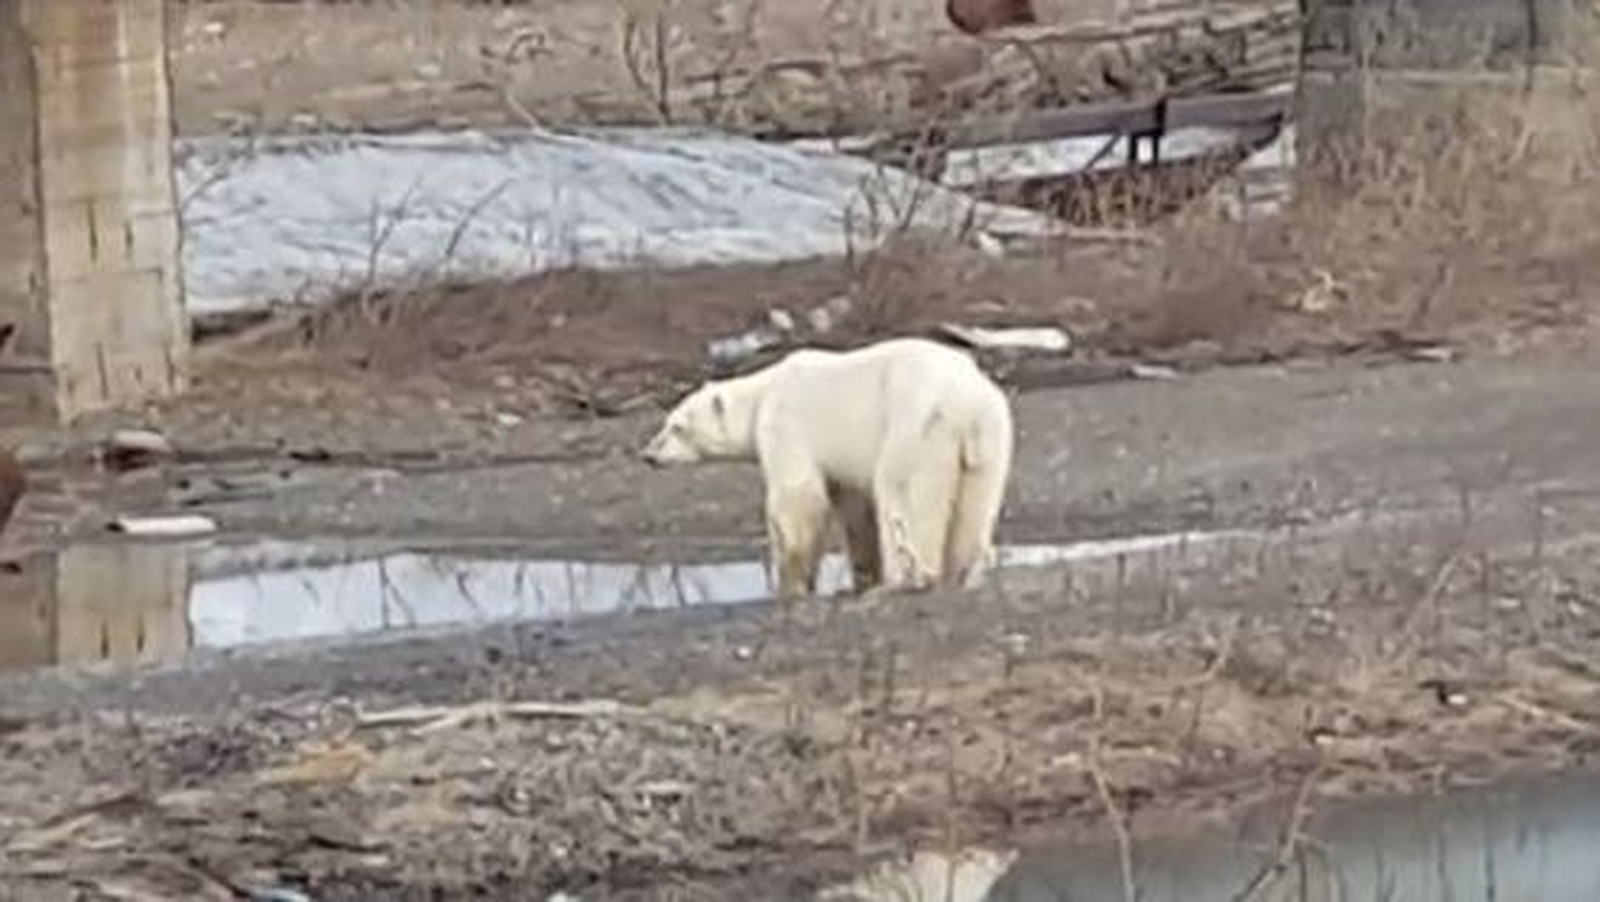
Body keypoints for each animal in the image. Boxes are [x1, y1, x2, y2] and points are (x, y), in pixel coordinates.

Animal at [636, 334, 1011, 601]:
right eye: (667, 422)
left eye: (677, 427)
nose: (648, 454)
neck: (763, 393)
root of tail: (966, 403)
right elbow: (854, 507)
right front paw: (860, 578)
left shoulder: (786, 424)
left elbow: (796, 497)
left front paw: (791, 586)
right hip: (991, 436)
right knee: (976, 502)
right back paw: (962, 573)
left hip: (918, 426)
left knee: (902, 493)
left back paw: (907, 580)